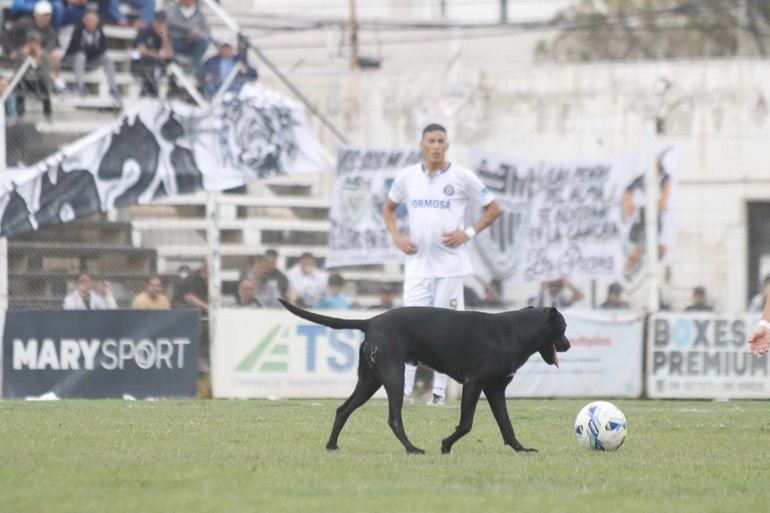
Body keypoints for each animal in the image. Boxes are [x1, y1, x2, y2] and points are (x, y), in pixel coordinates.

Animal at [280, 298, 568, 454]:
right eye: (563, 327)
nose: (567, 345)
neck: (516, 331)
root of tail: (371, 321)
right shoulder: (473, 383)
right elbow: (466, 424)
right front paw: (445, 446)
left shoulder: (496, 390)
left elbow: (506, 426)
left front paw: (521, 449)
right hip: (394, 378)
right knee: (393, 419)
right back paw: (412, 449)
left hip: (370, 381)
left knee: (343, 410)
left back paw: (332, 446)